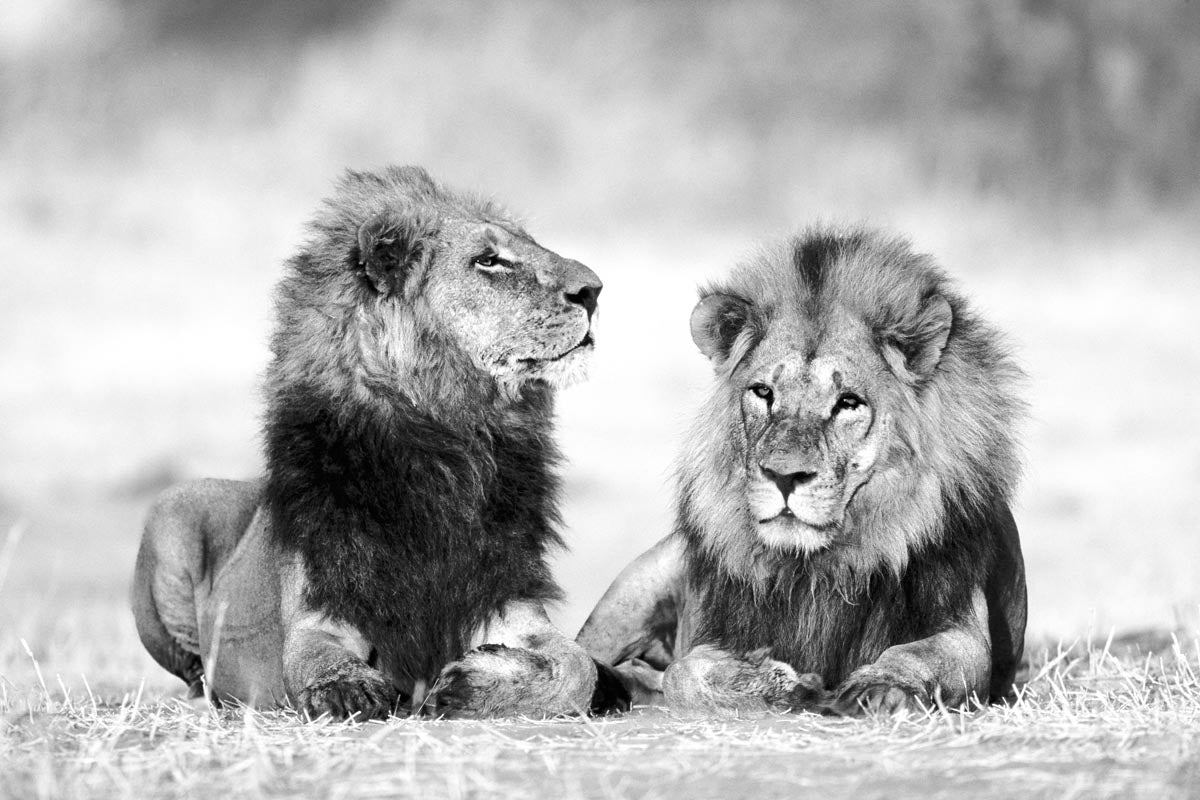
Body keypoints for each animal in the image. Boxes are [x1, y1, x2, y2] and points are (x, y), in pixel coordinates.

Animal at [130, 165, 614, 720]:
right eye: (487, 260)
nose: (594, 290)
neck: (448, 443)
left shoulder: (509, 602)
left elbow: (579, 667)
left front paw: (470, 683)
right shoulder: (322, 608)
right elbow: (314, 661)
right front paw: (348, 688)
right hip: (173, 507)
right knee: (193, 670)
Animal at [578, 228, 1026, 715]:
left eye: (848, 402)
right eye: (763, 392)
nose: (784, 476)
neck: (814, 568)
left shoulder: (961, 627)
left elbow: (916, 655)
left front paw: (879, 687)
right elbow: (684, 671)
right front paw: (777, 684)